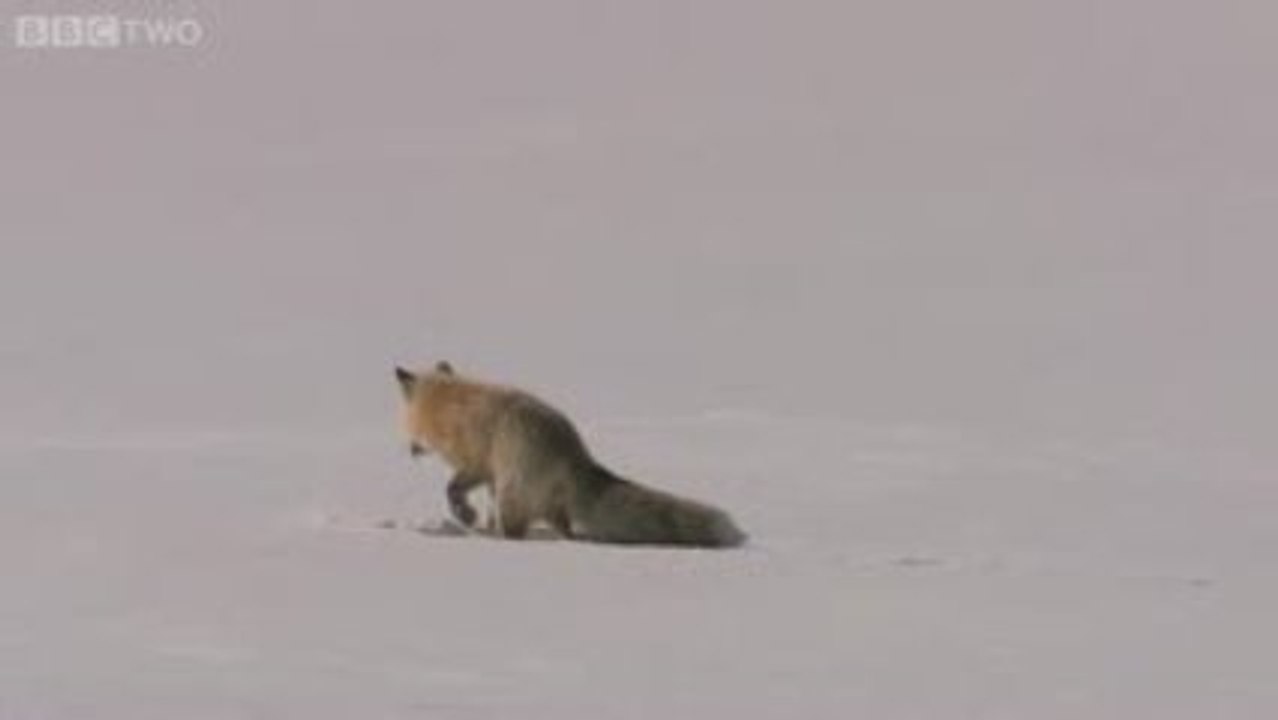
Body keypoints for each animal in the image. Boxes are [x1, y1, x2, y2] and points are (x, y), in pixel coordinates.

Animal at [394, 361, 746, 548]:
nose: (411, 450)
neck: (448, 403)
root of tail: (578, 460)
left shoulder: (477, 463)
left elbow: (453, 489)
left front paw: (465, 515)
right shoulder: (489, 476)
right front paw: (473, 521)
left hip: (512, 493)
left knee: (517, 531)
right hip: (534, 502)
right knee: (564, 531)